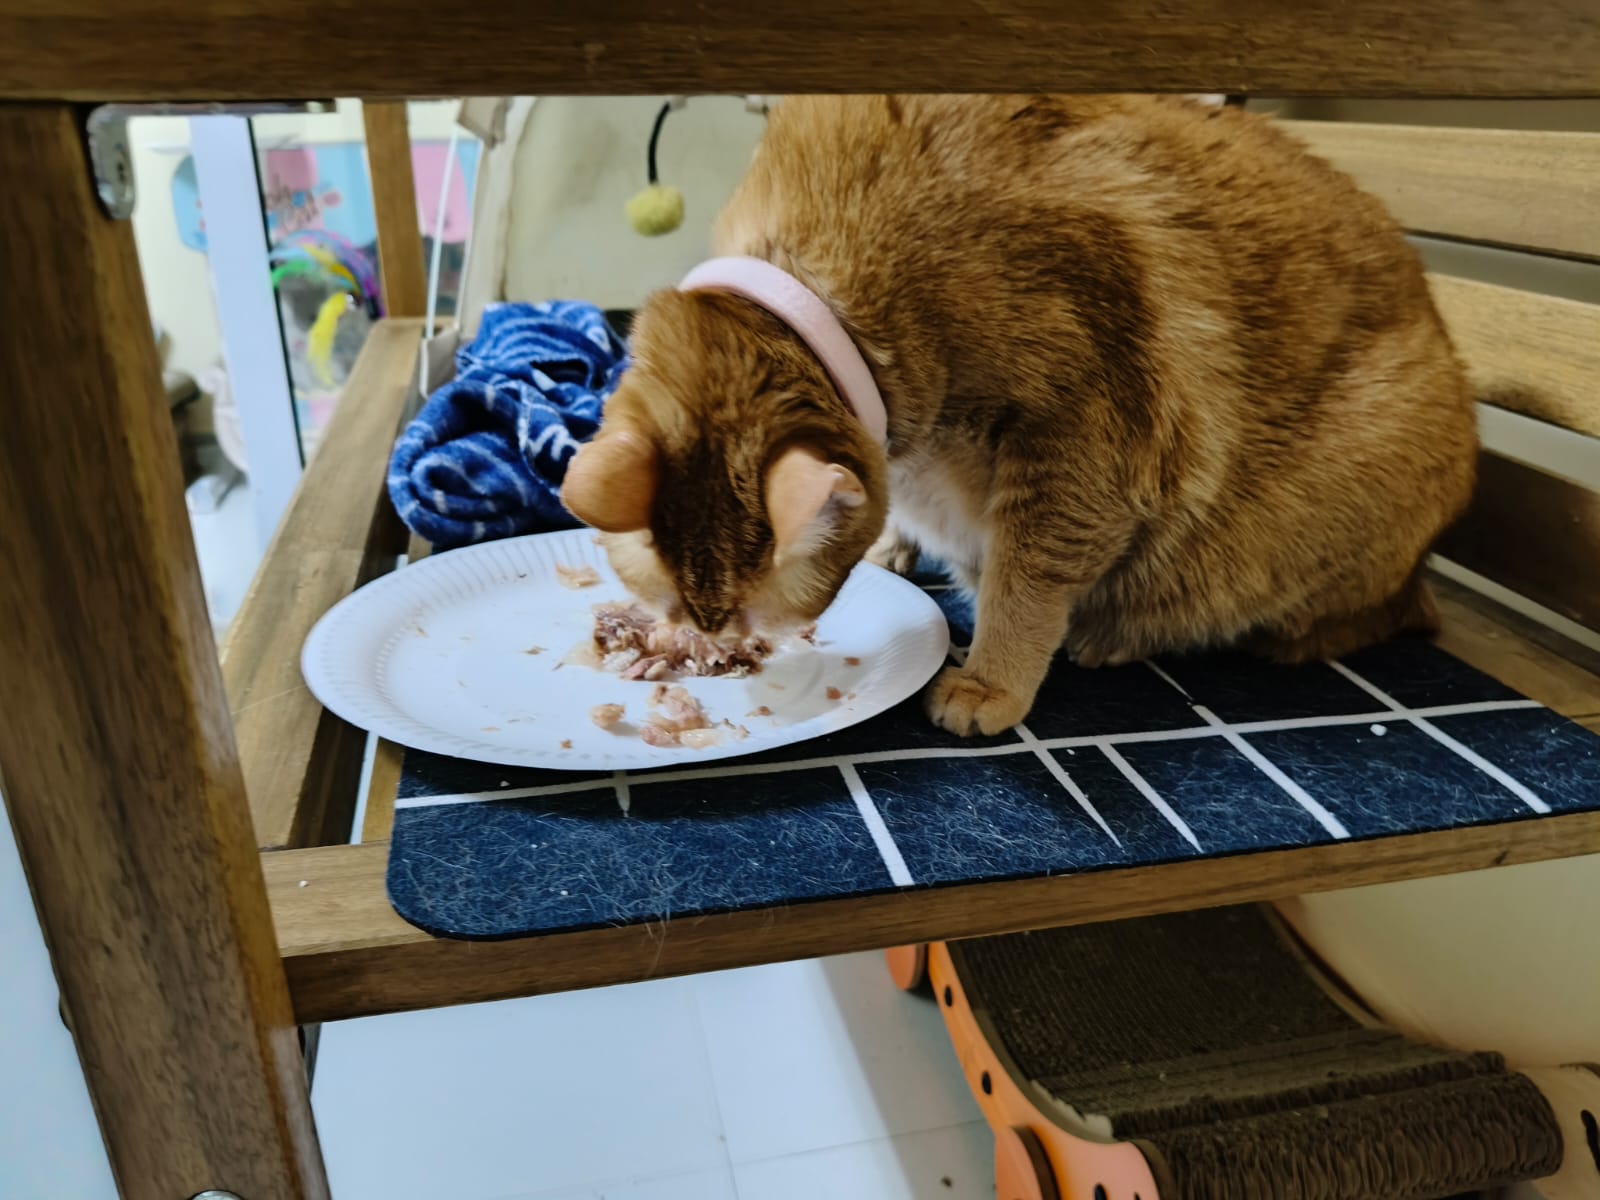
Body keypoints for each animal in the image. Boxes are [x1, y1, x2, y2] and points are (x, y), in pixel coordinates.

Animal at [561, 95, 1477, 736]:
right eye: (685, 621)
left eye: (748, 625)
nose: (717, 651)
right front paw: (897, 545)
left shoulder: (1081, 448)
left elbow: (1024, 585)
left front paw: (992, 680)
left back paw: (1125, 636)